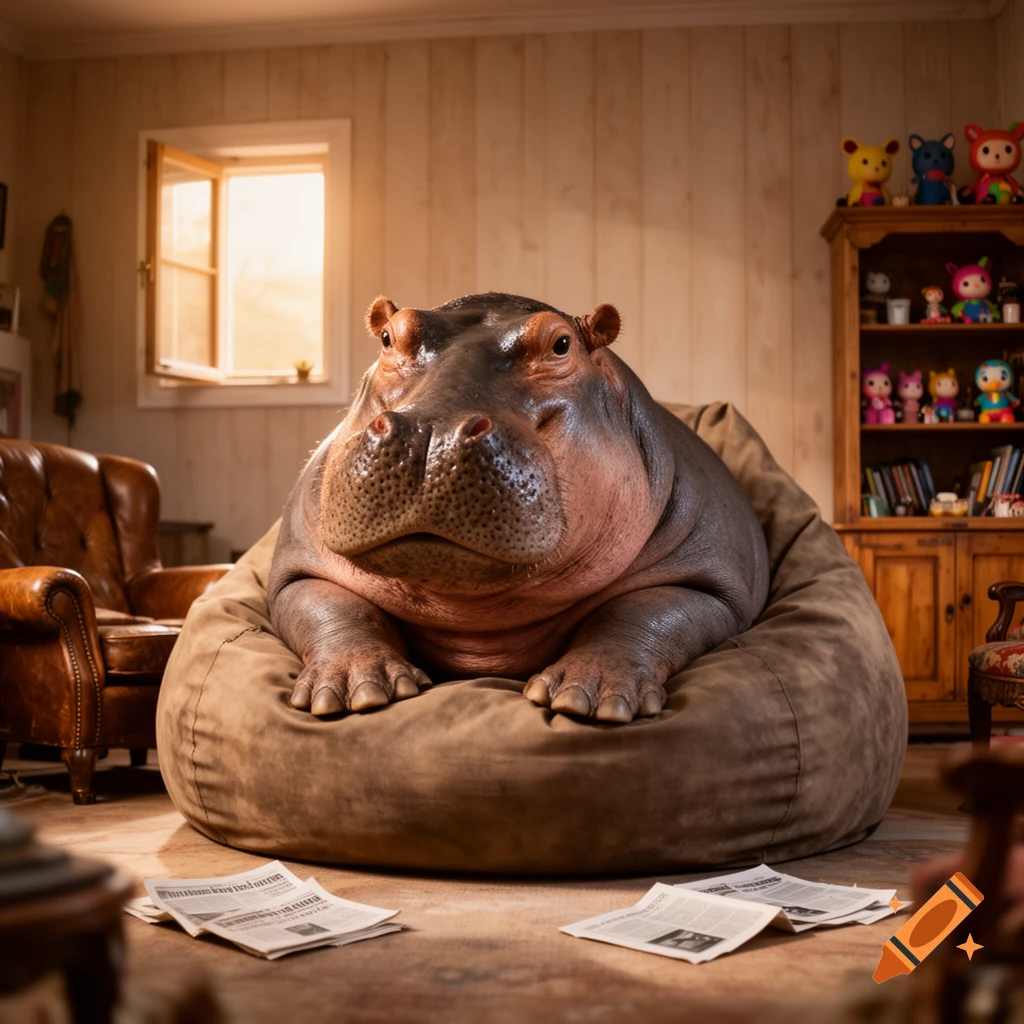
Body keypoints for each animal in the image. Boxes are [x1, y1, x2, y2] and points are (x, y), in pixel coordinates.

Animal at [268, 292, 770, 724]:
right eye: (389, 337)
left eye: (561, 344)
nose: (429, 432)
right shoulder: (298, 569)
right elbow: (335, 608)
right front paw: (354, 689)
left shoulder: (710, 583)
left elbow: (640, 614)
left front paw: (588, 694)